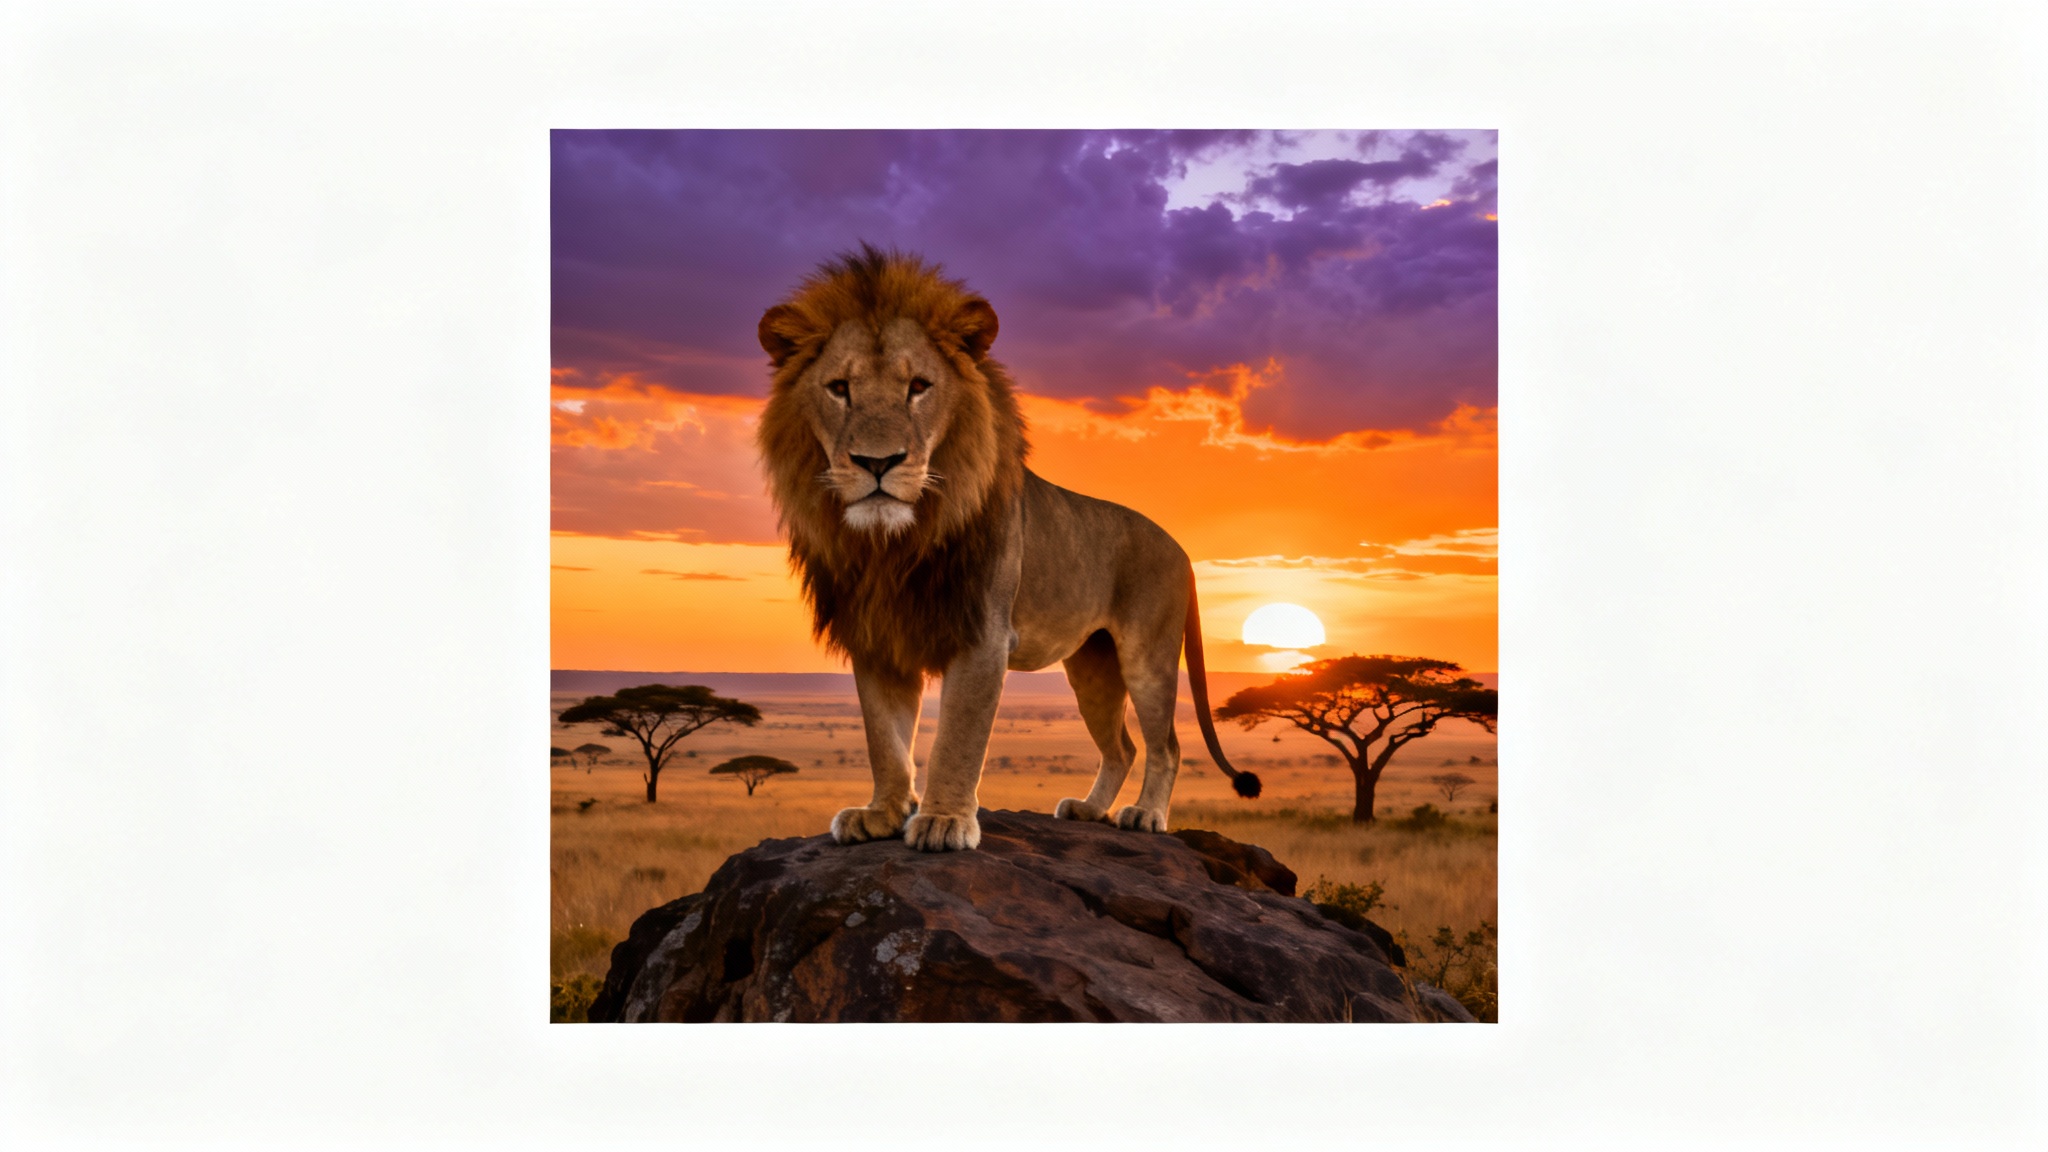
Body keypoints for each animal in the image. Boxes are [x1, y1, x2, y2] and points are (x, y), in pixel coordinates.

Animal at [755, 244, 1259, 852]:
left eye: (918, 386)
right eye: (839, 388)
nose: (878, 463)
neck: (893, 545)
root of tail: (1183, 549)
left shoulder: (982, 633)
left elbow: (958, 738)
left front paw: (944, 821)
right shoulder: (878, 636)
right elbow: (885, 738)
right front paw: (881, 813)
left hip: (1147, 656)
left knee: (1166, 746)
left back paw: (1145, 816)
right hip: (1092, 667)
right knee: (1123, 746)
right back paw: (1089, 810)